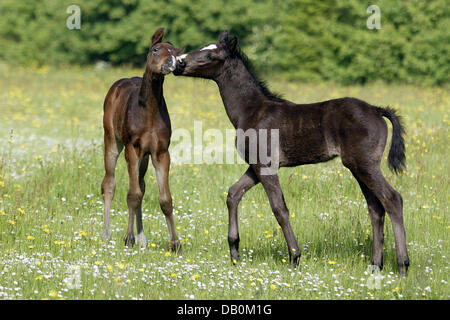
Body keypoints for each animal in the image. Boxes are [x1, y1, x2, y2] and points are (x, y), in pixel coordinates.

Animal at [101, 28, 184, 252]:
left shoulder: (160, 152)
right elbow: (133, 195)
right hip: (112, 141)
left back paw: (142, 237)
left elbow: (165, 200)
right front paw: (128, 238)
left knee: (141, 183)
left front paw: (175, 244)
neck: (149, 112)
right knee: (109, 183)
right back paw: (106, 234)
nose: (172, 62)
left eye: (175, 52)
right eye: (156, 49)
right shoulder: (133, 148)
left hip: (145, 157)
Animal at [177, 31, 412, 274]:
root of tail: (377, 110)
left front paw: (294, 257)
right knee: (376, 207)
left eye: (210, 56)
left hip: (364, 165)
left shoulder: (266, 166)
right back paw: (375, 265)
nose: (179, 63)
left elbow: (279, 208)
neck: (252, 111)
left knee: (392, 199)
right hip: (358, 167)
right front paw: (234, 252)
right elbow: (233, 194)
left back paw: (403, 265)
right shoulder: (256, 166)